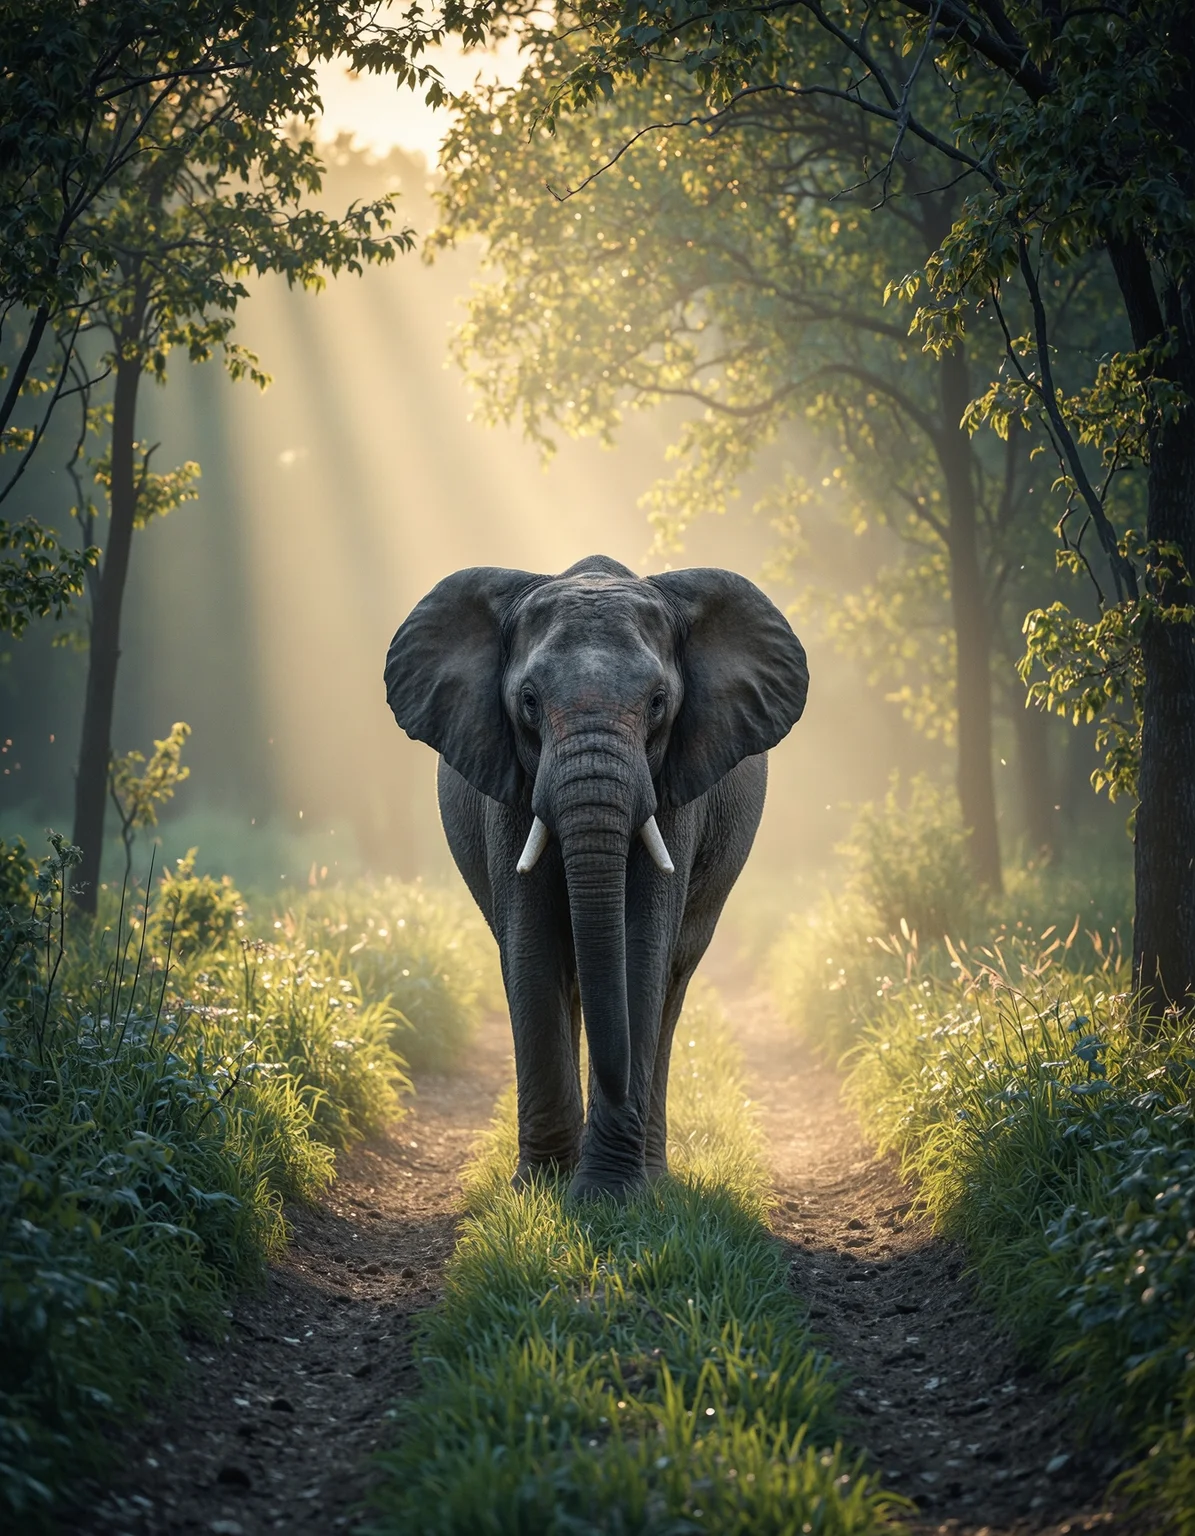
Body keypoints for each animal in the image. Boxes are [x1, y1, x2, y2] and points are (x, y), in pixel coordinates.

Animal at [384, 555, 808, 1201]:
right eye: (529, 702)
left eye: (658, 702)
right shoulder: (508, 787)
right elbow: (532, 948)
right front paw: (541, 1190)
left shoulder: (675, 790)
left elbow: (640, 951)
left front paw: (607, 1196)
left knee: (672, 981)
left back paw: (652, 1177)